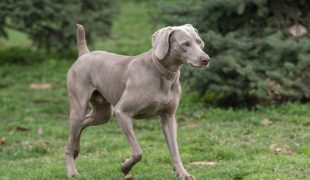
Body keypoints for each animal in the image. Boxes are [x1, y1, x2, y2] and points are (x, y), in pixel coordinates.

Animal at [64, 24, 212, 180]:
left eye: (199, 42)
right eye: (185, 44)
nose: (206, 59)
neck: (163, 75)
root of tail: (84, 54)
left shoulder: (169, 116)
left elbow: (174, 149)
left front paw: (183, 173)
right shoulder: (122, 112)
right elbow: (137, 152)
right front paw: (125, 168)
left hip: (103, 114)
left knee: (82, 124)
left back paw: (76, 150)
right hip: (79, 107)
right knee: (70, 140)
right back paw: (72, 171)